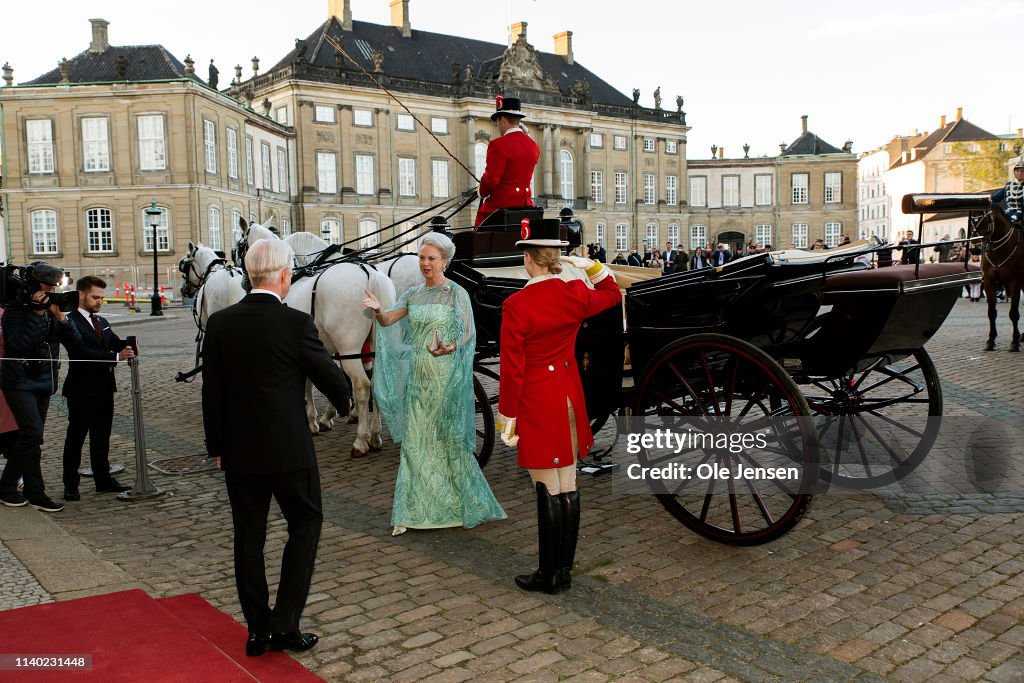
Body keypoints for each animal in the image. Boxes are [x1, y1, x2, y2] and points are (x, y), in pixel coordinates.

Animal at [970, 208, 1019, 352]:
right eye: (971, 219)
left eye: (986, 220)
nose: (974, 249)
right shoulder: (989, 282)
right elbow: (991, 313)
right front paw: (990, 341)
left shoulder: (1014, 283)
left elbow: (1013, 313)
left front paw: (1015, 342)